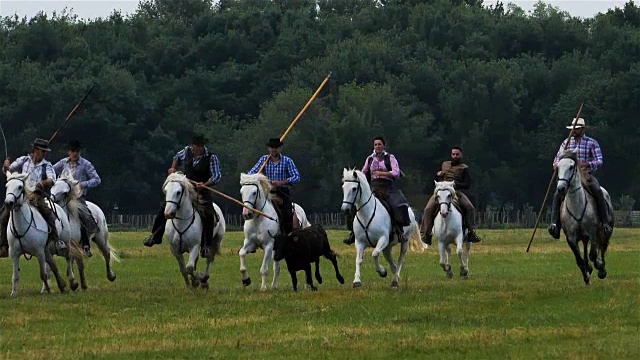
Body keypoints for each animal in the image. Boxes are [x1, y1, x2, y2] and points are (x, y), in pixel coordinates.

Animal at [556, 150, 616, 284]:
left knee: (602, 247)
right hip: (583, 236)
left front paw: (599, 267)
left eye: (571, 167)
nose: (561, 188)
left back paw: (601, 269)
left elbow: (593, 254)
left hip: (605, 231)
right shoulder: (571, 238)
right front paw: (586, 276)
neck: (577, 206)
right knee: (585, 248)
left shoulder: (593, 232)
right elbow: (579, 260)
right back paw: (589, 267)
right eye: (558, 167)